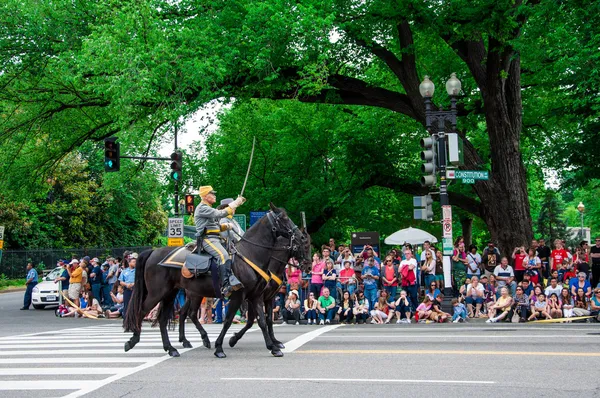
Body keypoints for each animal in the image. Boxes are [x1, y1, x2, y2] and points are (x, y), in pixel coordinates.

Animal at [122, 202, 310, 358]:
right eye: (283, 218)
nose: (308, 266)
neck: (251, 255)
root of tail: (153, 252)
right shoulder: (240, 296)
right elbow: (229, 321)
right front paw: (221, 346)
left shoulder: (258, 296)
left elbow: (263, 321)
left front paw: (273, 347)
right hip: (159, 293)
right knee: (143, 311)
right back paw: (133, 341)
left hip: (172, 293)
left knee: (169, 317)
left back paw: (173, 348)